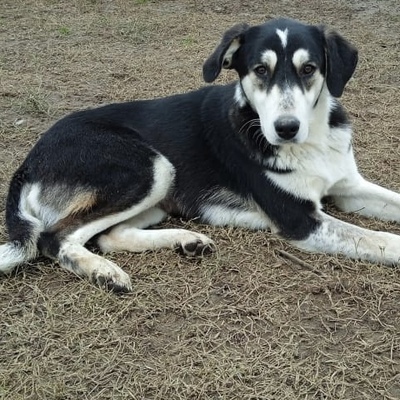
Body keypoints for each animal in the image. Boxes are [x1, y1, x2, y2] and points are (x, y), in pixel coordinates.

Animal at [0, 18, 400, 290]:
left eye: (309, 69)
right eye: (260, 69)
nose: (286, 128)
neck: (310, 141)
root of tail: (29, 160)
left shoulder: (349, 188)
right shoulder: (300, 219)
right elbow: (381, 239)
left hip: (159, 191)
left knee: (109, 236)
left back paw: (185, 241)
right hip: (151, 167)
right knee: (55, 237)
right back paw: (103, 272)